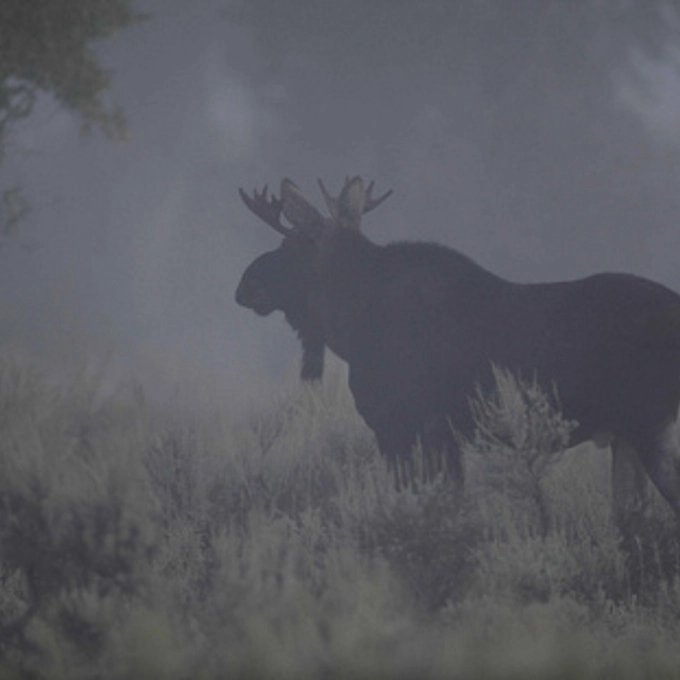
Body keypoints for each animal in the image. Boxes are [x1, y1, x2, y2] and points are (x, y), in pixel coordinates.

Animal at [236, 176, 680, 517]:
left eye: (292, 245)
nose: (244, 285)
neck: (349, 328)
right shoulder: (441, 438)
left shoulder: (405, 428)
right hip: (626, 436)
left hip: (650, 426)